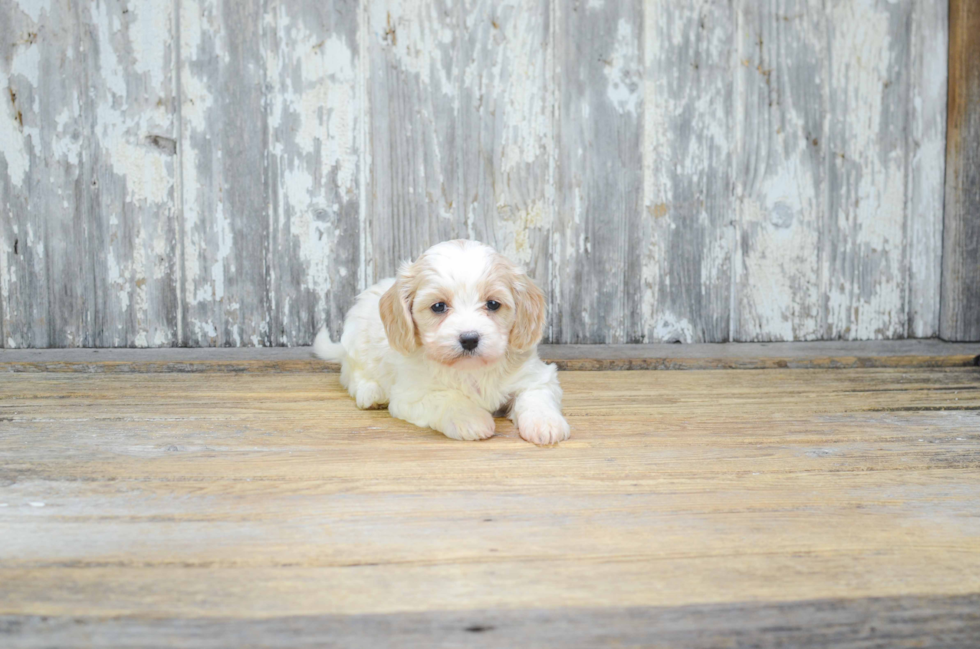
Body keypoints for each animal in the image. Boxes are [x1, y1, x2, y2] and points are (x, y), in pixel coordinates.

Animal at [314, 239, 572, 446]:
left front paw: (545, 424)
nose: (469, 339)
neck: (472, 370)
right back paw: (371, 393)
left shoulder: (536, 377)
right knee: (353, 375)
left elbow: (536, 396)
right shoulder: (413, 394)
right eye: (438, 306)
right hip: (356, 345)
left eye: (493, 304)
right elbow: (447, 399)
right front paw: (471, 419)